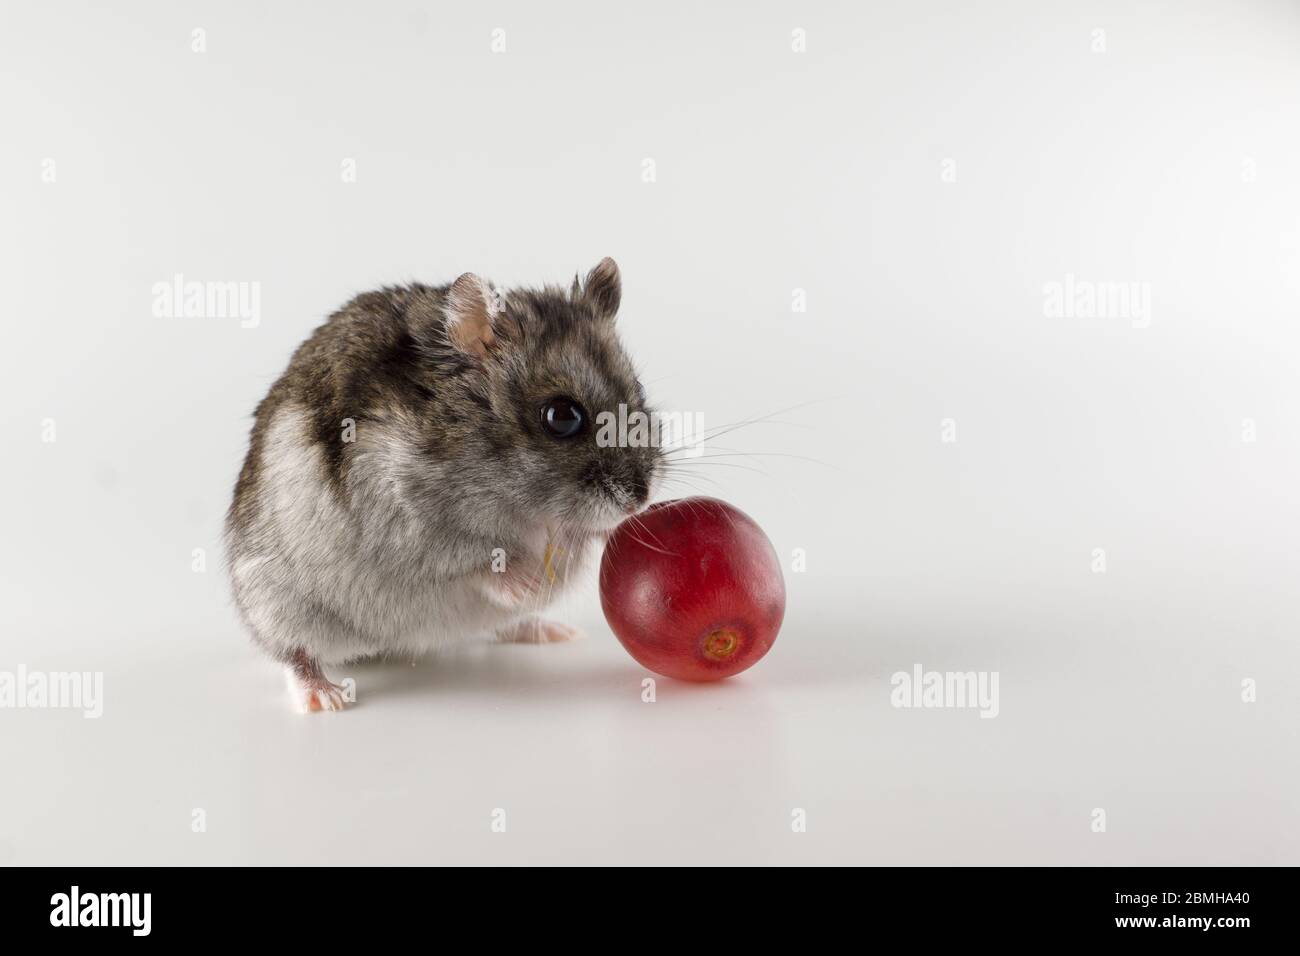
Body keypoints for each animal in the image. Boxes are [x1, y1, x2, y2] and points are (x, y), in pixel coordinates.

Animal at [222, 257, 660, 712]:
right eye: (561, 416)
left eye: (640, 391)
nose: (640, 499)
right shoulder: (406, 519)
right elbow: (478, 559)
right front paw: (533, 582)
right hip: (278, 602)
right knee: (295, 654)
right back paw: (324, 698)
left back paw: (553, 632)